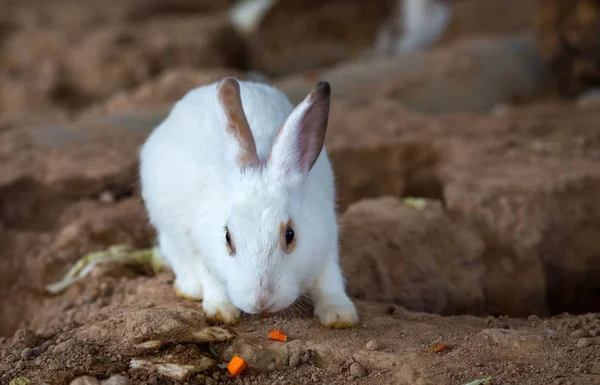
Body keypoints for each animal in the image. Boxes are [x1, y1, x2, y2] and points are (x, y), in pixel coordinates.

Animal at [138, 77, 358, 328]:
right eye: (227, 237)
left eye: (290, 234)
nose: (261, 300)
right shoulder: (200, 249)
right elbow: (211, 279)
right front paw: (222, 312)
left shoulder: (327, 244)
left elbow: (329, 281)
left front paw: (340, 315)